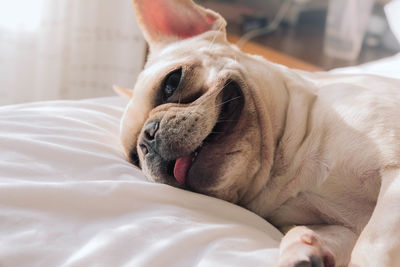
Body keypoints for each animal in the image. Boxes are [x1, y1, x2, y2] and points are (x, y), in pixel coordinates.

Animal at [115, 1, 400, 266]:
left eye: (172, 82)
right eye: (133, 157)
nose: (147, 137)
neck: (282, 166)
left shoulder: (392, 180)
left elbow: (370, 248)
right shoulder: (347, 225)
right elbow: (330, 236)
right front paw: (303, 248)